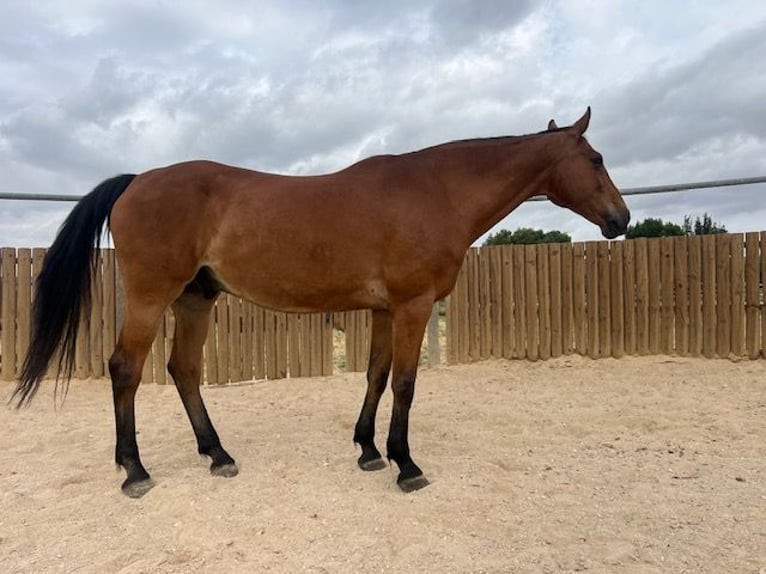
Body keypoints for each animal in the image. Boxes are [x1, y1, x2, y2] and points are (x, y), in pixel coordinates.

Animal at [13, 107, 629, 497]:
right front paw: (406, 464)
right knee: (126, 369)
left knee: (183, 370)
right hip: (150, 297)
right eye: (596, 158)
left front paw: (368, 450)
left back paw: (218, 455)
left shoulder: (385, 309)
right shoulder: (413, 305)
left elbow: (376, 375)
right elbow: (406, 383)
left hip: (195, 299)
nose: (620, 219)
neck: (435, 192)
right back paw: (135, 471)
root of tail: (137, 180)